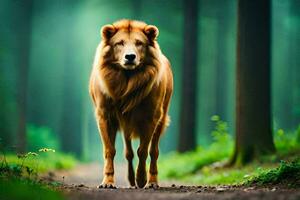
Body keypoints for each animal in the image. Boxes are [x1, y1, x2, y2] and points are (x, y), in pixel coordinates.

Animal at [89, 19, 173, 189]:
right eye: (119, 43)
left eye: (139, 43)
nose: (130, 56)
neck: (127, 81)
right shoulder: (105, 115)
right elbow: (110, 150)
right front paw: (108, 182)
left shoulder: (151, 117)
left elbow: (143, 150)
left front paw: (141, 179)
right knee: (128, 153)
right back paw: (130, 179)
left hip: (161, 118)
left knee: (154, 151)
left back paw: (151, 181)